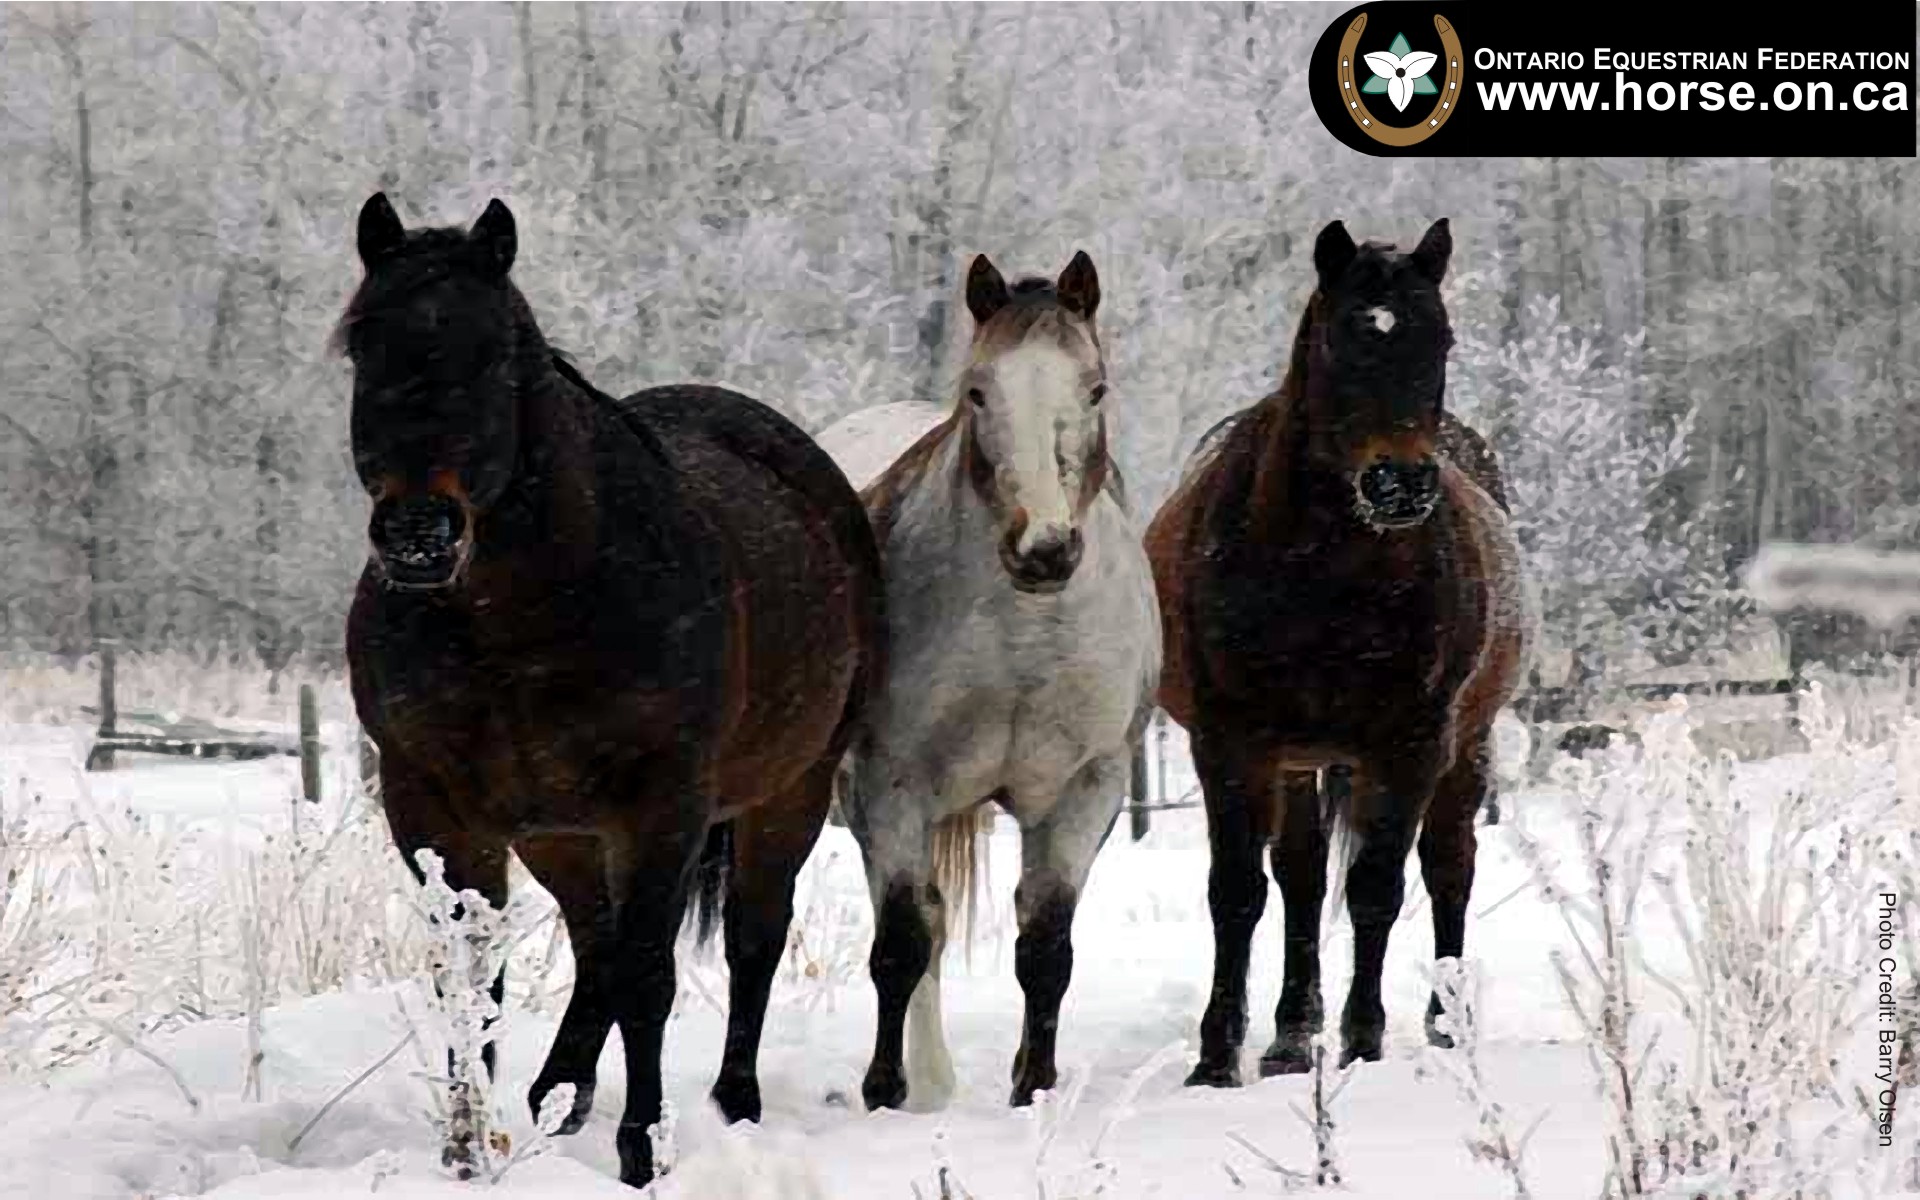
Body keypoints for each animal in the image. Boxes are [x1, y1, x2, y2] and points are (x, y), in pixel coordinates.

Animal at [338, 193, 885, 1189]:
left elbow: (647, 973)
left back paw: (732, 1101)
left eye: (496, 352)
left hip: (788, 792)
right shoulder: (434, 806)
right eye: (364, 345)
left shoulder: (660, 804)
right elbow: (469, 974)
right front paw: (467, 1149)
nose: (418, 533)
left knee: (749, 936)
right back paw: (559, 1095)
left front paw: (644, 1149)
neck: (516, 620)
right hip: (558, 831)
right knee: (594, 945)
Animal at [819, 251, 1160, 1112]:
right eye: (980, 391)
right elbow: (901, 944)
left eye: (1095, 388)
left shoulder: (1088, 787)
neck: (1023, 635)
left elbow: (1045, 947)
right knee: (925, 926)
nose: (1043, 550)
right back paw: (929, 1083)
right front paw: (884, 1092)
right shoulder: (890, 784)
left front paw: (1033, 1087)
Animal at [1144, 217, 1525, 1085]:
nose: (1400, 485)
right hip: (1300, 759)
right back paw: (1290, 1036)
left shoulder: (1411, 744)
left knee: (1448, 867)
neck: (1324, 571)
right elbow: (1240, 891)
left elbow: (1378, 889)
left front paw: (1363, 1040)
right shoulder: (1232, 743)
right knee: (1302, 874)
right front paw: (1218, 1057)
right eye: (1342, 340)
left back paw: (1444, 1023)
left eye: (1441, 339)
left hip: (1465, 747)